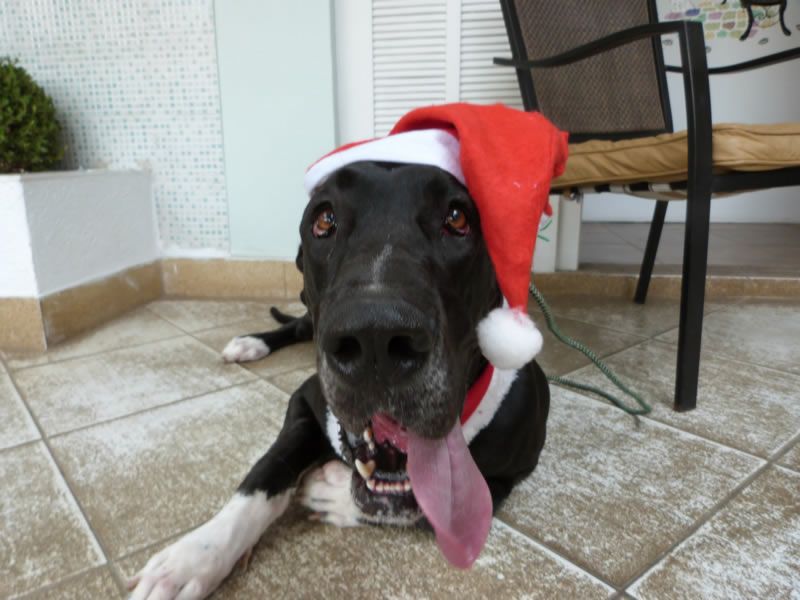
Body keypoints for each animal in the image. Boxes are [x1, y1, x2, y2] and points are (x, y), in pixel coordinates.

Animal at [128, 161, 550, 600]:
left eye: (457, 218)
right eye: (324, 219)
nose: (376, 338)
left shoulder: (507, 474)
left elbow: (434, 511)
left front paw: (332, 492)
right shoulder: (303, 399)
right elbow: (265, 471)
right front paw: (193, 557)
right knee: (297, 326)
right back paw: (251, 344)